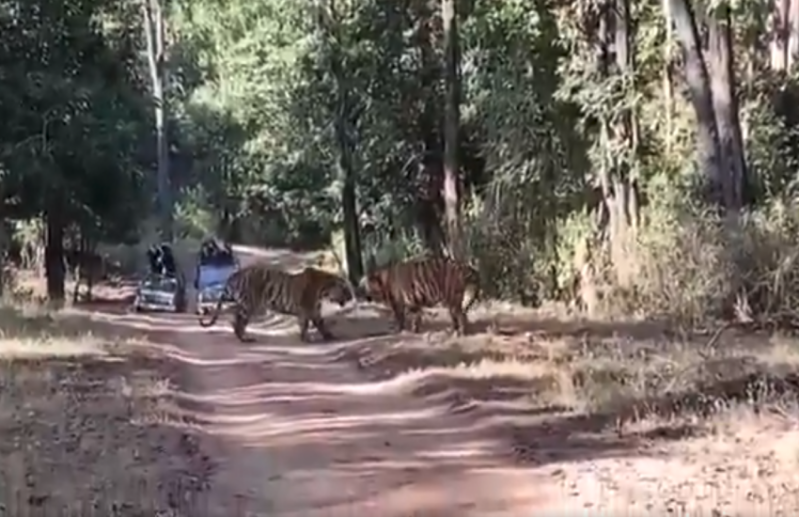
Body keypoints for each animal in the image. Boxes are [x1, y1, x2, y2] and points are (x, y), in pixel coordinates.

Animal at [198, 263, 354, 343]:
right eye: (346, 289)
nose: (352, 297)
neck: (324, 290)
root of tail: (236, 274)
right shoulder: (307, 309)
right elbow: (309, 324)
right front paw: (310, 338)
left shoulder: (313, 311)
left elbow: (316, 324)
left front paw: (328, 336)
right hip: (249, 304)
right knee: (239, 321)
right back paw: (245, 339)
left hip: (244, 304)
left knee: (235, 319)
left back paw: (242, 337)